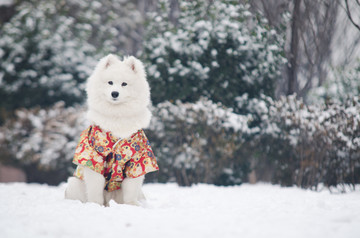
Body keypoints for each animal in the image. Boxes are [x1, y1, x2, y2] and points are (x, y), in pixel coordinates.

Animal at [64, 54, 159, 206]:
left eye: (124, 84)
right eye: (110, 82)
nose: (115, 93)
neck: (117, 116)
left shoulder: (137, 159)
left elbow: (131, 188)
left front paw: (132, 205)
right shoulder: (94, 156)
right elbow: (95, 187)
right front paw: (95, 205)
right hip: (74, 183)